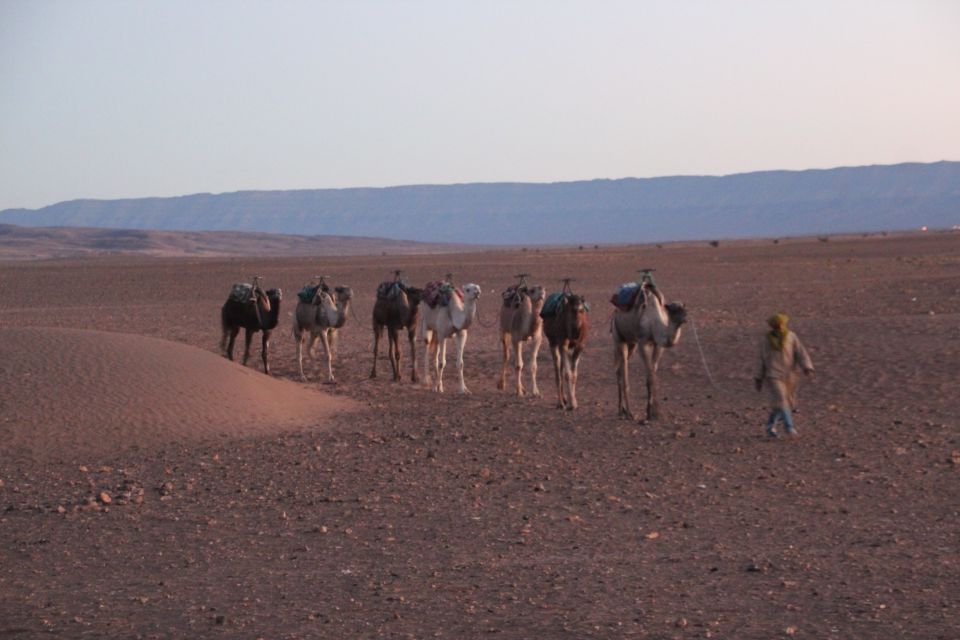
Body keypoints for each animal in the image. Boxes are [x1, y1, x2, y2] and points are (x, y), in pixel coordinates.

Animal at [544, 278, 588, 410]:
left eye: (582, 310)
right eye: (572, 310)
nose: (577, 330)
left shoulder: (579, 346)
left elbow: (574, 374)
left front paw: (574, 401)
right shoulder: (562, 344)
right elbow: (568, 374)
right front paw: (571, 404)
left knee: (562, 368)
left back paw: (564, 399)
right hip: (553, 342)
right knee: (557, 370)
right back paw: (560, 402)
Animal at [612, 270, 688, 420]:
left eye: (684, 308)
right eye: (673, 310)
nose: (685, 317)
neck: (654, 321)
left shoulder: (658, 346)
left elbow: (652, 375)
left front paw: (652, 412)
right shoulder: (643, 343)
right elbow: (651, 377)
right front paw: (653, 413)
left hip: (631, 344)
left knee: (619, 369)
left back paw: (621, 409)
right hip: (618, 337)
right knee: (623, 371)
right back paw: (628, 412)